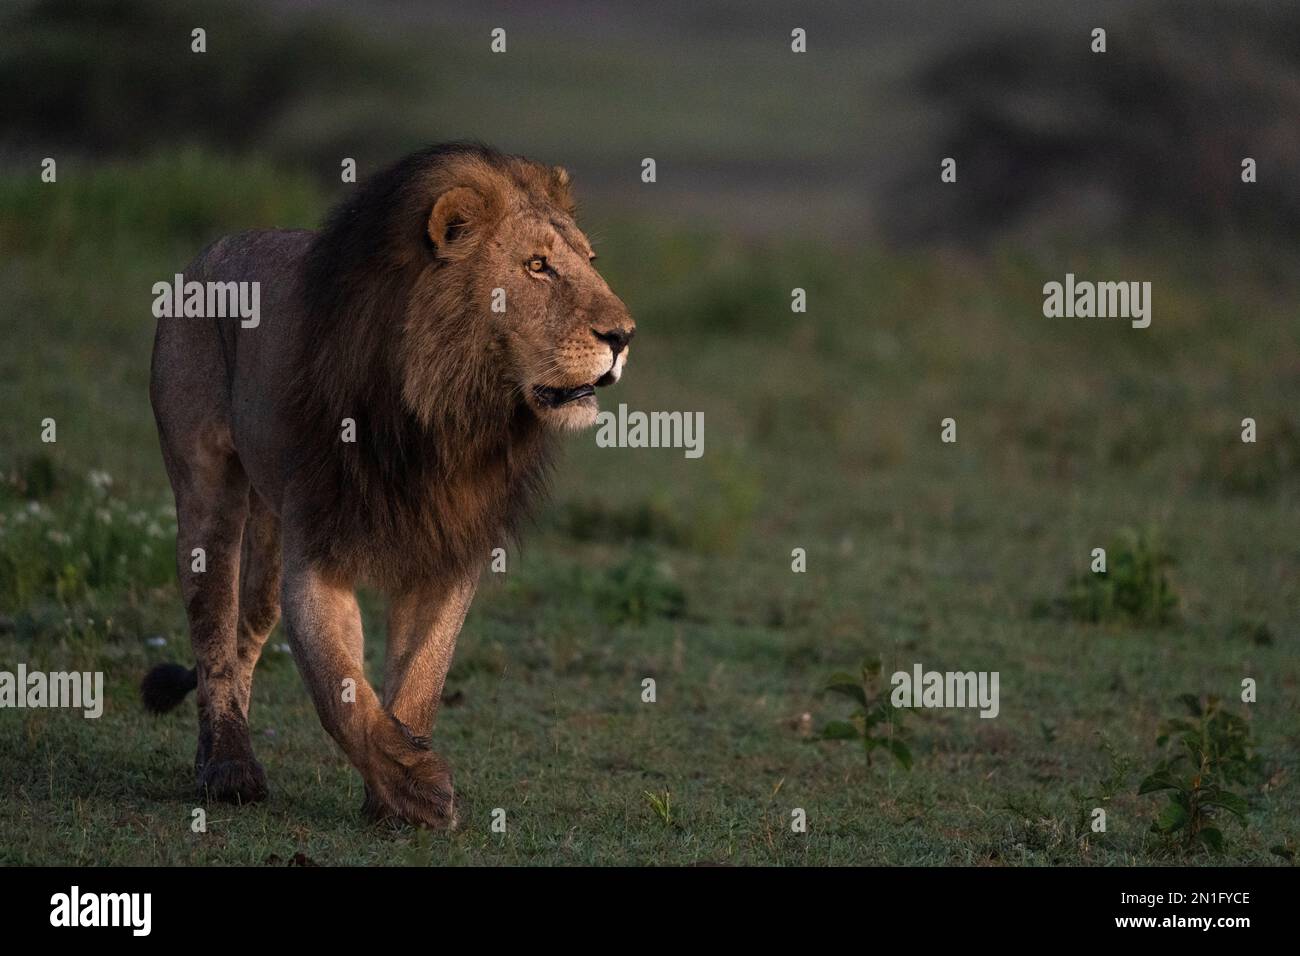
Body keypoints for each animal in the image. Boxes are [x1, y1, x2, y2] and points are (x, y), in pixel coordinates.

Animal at [142, 143, 634, 832]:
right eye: (537, 267)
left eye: (589, 262)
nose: (623, 336)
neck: (447, 415)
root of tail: (211, 250)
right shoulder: (320, 555)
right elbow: (341, 691)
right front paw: (418, 789)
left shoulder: (447, 549)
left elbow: (421, 676)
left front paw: (396, 790)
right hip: (206, 489)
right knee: (211, 627)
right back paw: (229, 767)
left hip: (271, 528)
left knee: (246, 629)